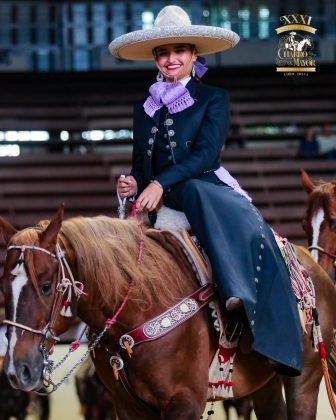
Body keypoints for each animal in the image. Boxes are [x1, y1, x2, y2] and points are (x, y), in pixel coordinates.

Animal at [0, 210, 334, 420]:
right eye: (3, 288)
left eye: (46, 286)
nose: (18, 370)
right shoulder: (128, 407)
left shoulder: (185, 403)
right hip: (264, 384)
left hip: (303, 380)